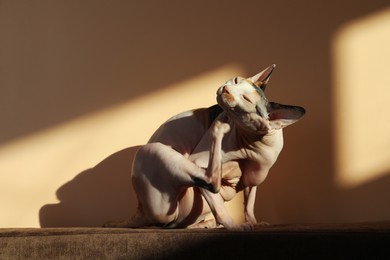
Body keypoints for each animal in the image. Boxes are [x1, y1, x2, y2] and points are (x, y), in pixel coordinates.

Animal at [105, 64, 306, 230]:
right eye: (235, 80)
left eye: (247, 99)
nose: (226, 89)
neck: (254, 143)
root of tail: (141, 210)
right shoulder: (199, 160)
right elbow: (220, 207)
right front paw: (234, 226)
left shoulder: (256, 177)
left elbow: (249, 203)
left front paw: (255, 223)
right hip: (151, 153)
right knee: (211, 182)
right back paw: (218, 127)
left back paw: (205, 224)